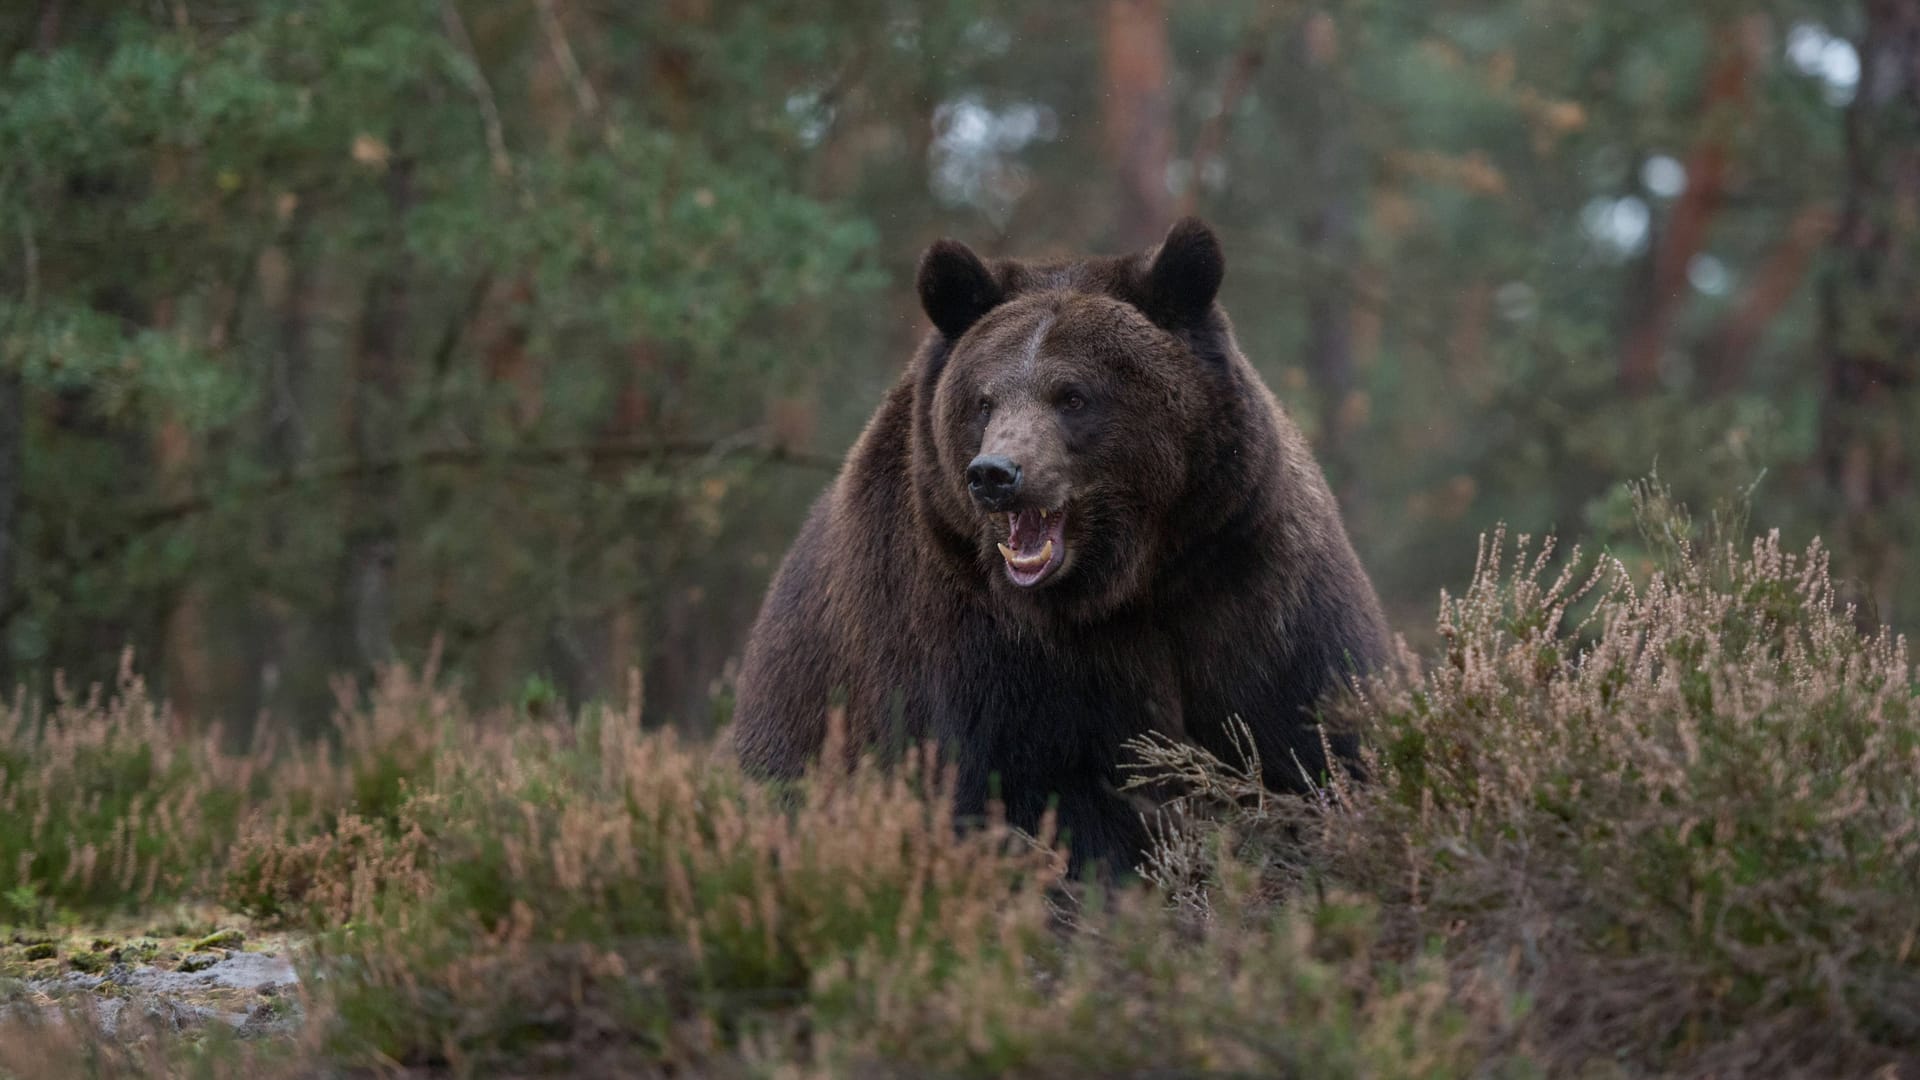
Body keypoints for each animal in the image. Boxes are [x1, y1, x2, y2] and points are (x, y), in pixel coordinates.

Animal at [729, 216, 1382, 864]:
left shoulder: (1249, 587)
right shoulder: (979, 646)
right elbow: (1036, 798)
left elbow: (1312, 740)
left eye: (1073, 395)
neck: (1127, 583)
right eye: (984, 400)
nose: (995, 473)